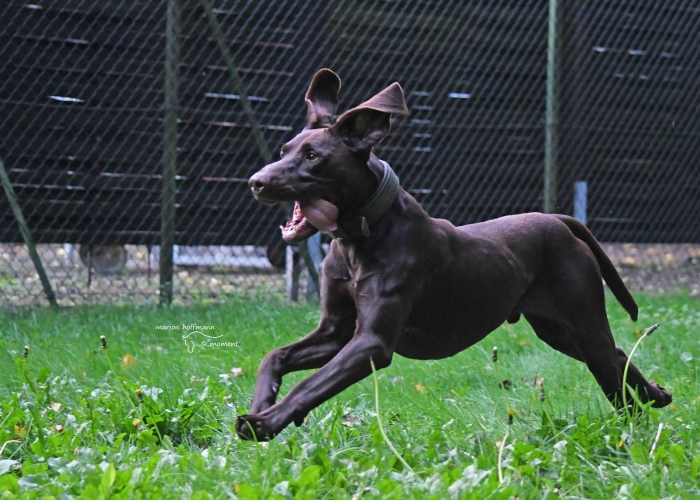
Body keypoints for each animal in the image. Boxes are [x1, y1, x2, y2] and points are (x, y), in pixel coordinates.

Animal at [239, 68, 672, 440]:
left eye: (313, 156)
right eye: (284, 150)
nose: (255, 182)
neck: (359, 237)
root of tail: (556, 218)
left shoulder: (370, 343)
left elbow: (311, 384)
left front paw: (265, 422)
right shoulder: (334, 332)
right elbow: (274, 357)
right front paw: (263, 402)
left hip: (581, 322)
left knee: (615, 382)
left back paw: (638, 423)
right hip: (558, 330)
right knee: (618, 353)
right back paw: (657, 393)